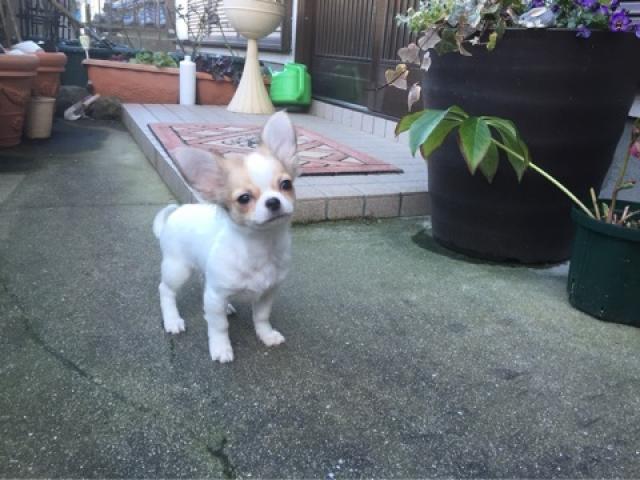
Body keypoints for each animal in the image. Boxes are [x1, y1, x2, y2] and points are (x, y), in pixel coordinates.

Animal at [152, 111, 299, 363]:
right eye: (244, 198)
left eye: (286, 184)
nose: (273, 201)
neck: (261, 247)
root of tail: (175, 213)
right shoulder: (215, 296)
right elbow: (218, 326)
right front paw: (221, 348)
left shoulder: (267, 292)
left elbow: (261, 317)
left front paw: (266, 335)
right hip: (177, 269)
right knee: (166, 290)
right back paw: (172, 320)